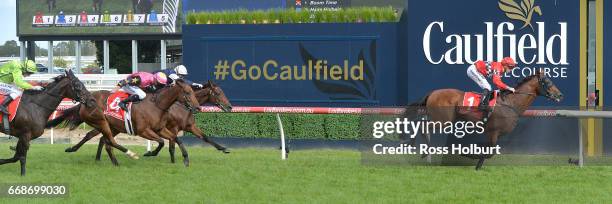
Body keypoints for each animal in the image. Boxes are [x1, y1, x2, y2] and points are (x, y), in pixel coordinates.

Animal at [406, 71, 564, 170]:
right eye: (547, 81)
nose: (560, 95)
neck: (510, 104)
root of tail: (432, 92)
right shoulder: (494, 131)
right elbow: (489, 152)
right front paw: (468, 155)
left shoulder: (491, 133)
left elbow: (489, 151)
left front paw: (476, 161)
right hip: (443, 120)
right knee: (422, 126)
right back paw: (421, 149)